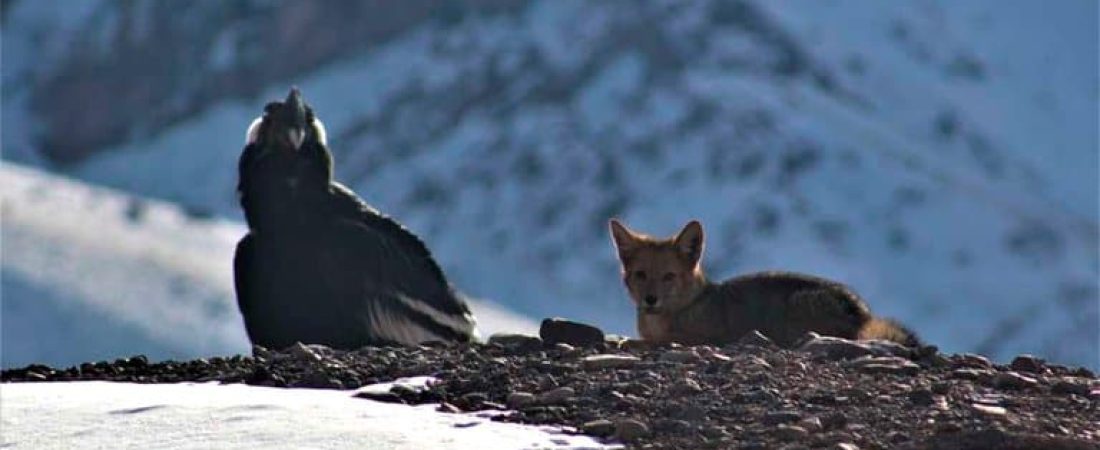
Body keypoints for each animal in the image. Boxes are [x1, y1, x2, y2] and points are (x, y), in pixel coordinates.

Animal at [611, 217, 919, 347]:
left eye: (669, 276)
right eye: (640, 275)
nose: (651, 300)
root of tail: (862, 313)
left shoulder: (710, 337)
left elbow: (662, 340)